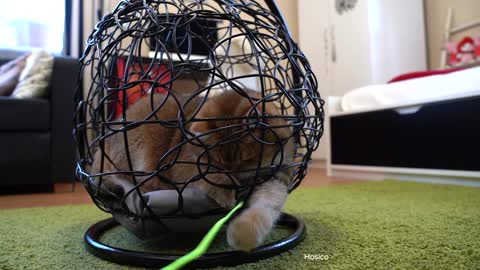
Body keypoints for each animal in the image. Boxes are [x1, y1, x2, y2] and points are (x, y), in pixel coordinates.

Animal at [89, 90, 292, 251]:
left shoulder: (277, 178)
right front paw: (225, 191)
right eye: (217, 163)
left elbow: (264, 207)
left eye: (246, 160)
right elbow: (207, 178)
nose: (233, 175)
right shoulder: (182, 166)